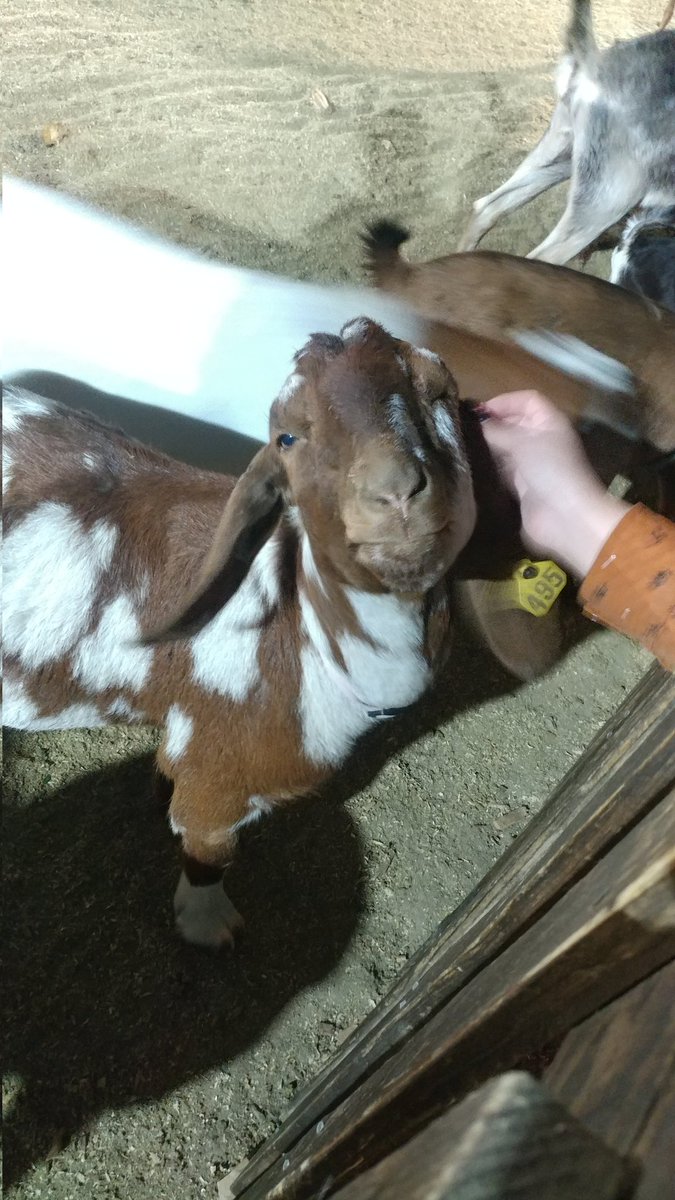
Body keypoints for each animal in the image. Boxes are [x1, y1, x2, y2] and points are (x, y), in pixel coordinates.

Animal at [6, 322, 513, 950]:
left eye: (440, 391)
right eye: (287, 437)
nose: (395, 493)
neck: (308, 643)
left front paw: (157, 790)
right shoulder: (222, 775)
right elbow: (210, 849)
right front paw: (207, 924)